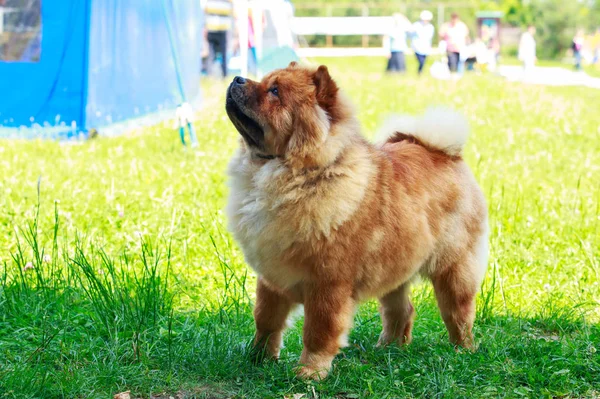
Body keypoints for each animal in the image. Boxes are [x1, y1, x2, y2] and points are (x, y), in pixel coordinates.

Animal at [225, 62, 488, 382]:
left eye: (274, 91)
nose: (237, 78)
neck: (296, 174)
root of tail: (444, 153)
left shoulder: (328, 283)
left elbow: (318, 331)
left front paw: (310, 372)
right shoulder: (272, 278)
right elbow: (266, 320)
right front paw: (258, 359)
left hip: (454, 269)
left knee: (458, 313)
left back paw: (463, 351)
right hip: (394, 268)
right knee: (401, 310)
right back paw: (388, 348)